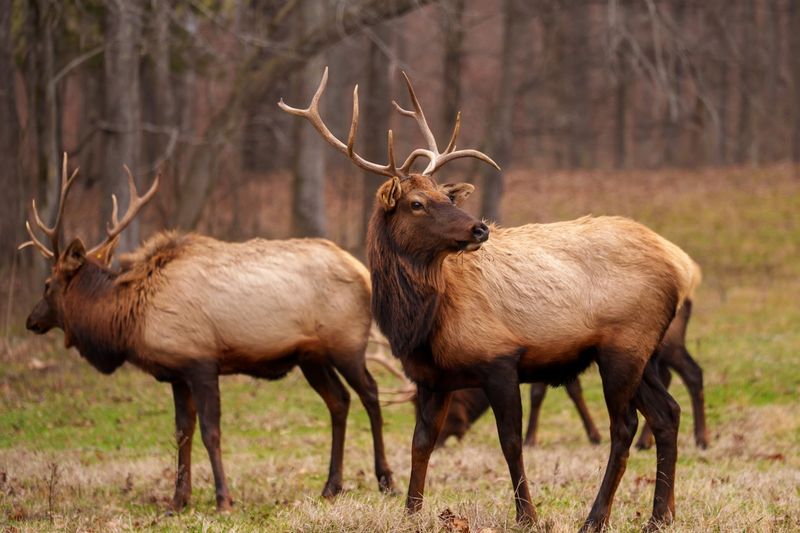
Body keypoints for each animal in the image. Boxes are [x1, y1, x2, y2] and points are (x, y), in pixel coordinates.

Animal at [20, 155, 395, 512]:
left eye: (47, 284)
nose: (30, 320)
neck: (127, 320)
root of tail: (364, 274)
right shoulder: (176, 373)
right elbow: (182, 433)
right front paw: (177, 501)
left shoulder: (201, 363)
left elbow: (210, 433)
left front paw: (223, 499)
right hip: (311, 357)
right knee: (339, 401)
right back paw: (331, 486)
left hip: (347, 345)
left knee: (371, 393)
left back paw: (385, 480)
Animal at [438, 298, 709, 451]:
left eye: (452, 408)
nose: (440, 441)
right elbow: (571, 390)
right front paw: (593, 435)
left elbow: (539, 393)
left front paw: (531, 438)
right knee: (670, 377)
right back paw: (648, 441)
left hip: (668, 343)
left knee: (692, 372)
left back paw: (701, 439)